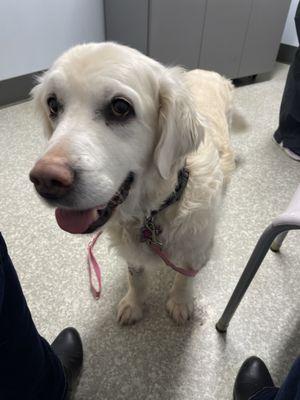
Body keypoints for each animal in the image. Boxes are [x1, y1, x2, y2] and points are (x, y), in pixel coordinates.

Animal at [29, 42, 234, 324]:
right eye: (53, 104)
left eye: (120, 107)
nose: (45, 180)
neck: (154, 212)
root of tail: (208, 71)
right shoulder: (133, 254)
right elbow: (135, 278)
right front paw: (133, 304)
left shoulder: (195, 251)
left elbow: (185, 279)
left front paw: (180, 303)